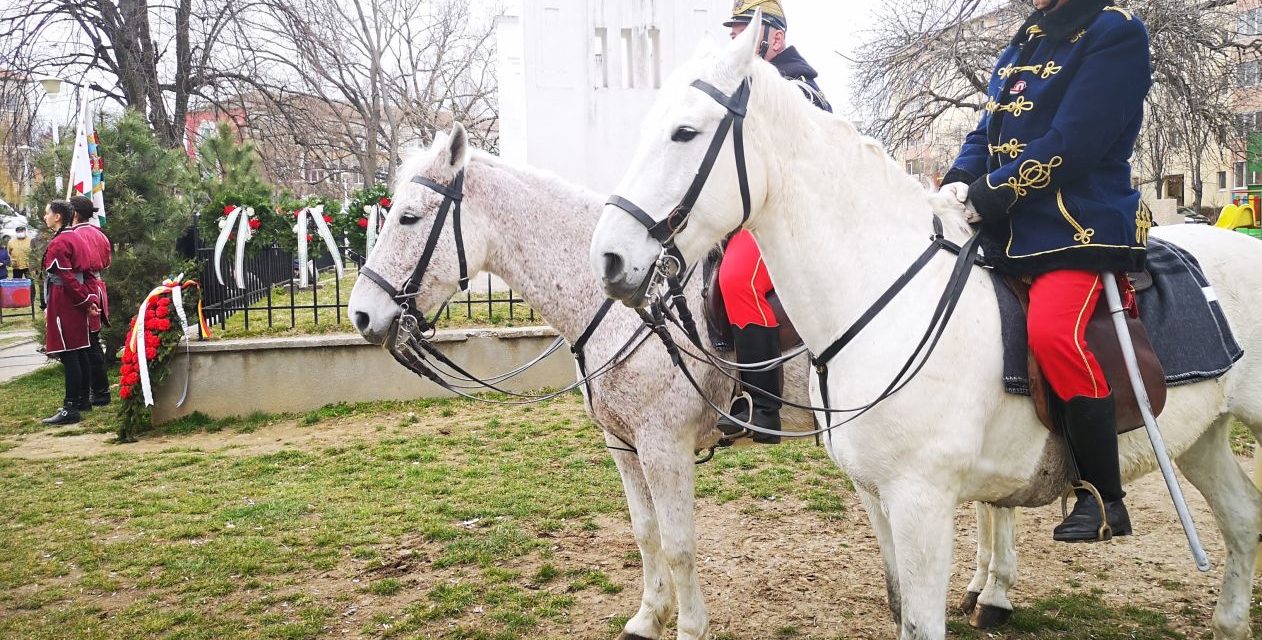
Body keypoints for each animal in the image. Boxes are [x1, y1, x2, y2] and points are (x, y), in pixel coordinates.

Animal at [345, 123, 822, 640]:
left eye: (409, 218)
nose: (361, 314)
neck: (628, 304)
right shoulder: (623, 443)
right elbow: (646, 532)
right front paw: (649, 616)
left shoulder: (664, 447)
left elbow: (679, 544)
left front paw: (691, 628)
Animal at [588, 23, 1262, 640]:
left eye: (685, 131)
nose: (610, 259)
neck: (885, 296)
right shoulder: (877, 496)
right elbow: (902, 611)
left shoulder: (923, 503)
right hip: (1200, 436)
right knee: (1242, 515)